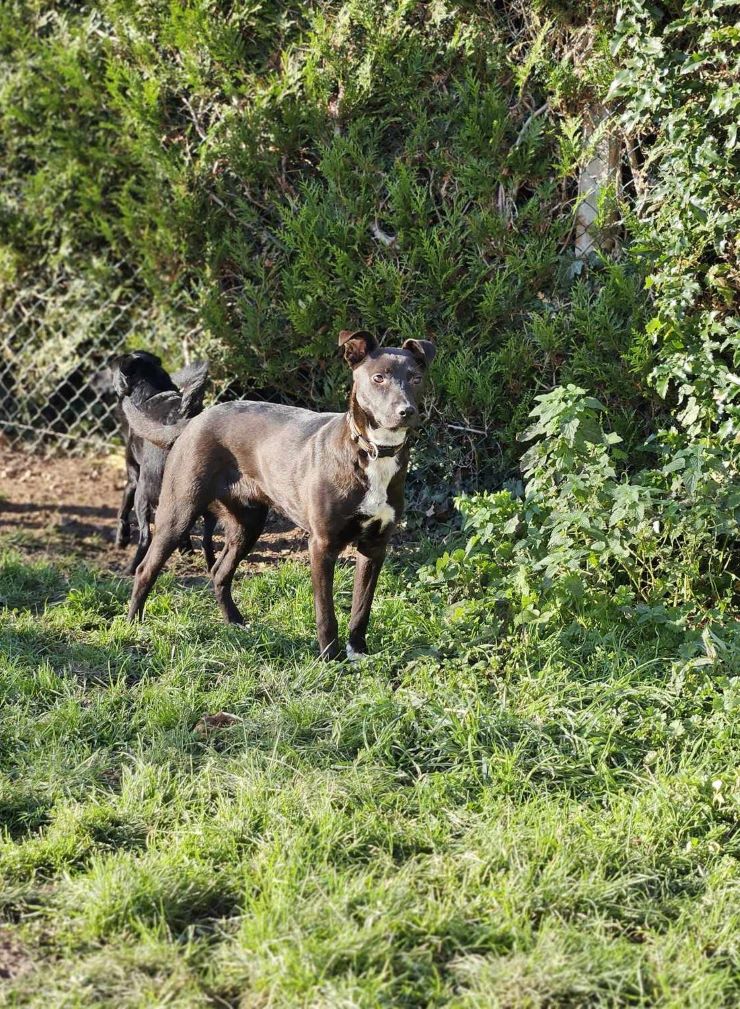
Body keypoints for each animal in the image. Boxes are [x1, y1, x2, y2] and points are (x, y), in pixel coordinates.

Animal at [111, 353, 212, 577]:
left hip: (143, 493)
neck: (151, 393)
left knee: (145, 538)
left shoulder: (132, 478)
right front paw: (185, 548)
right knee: (207, 539)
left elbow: (122, 511)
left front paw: (121, 539)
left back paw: (130, 569)